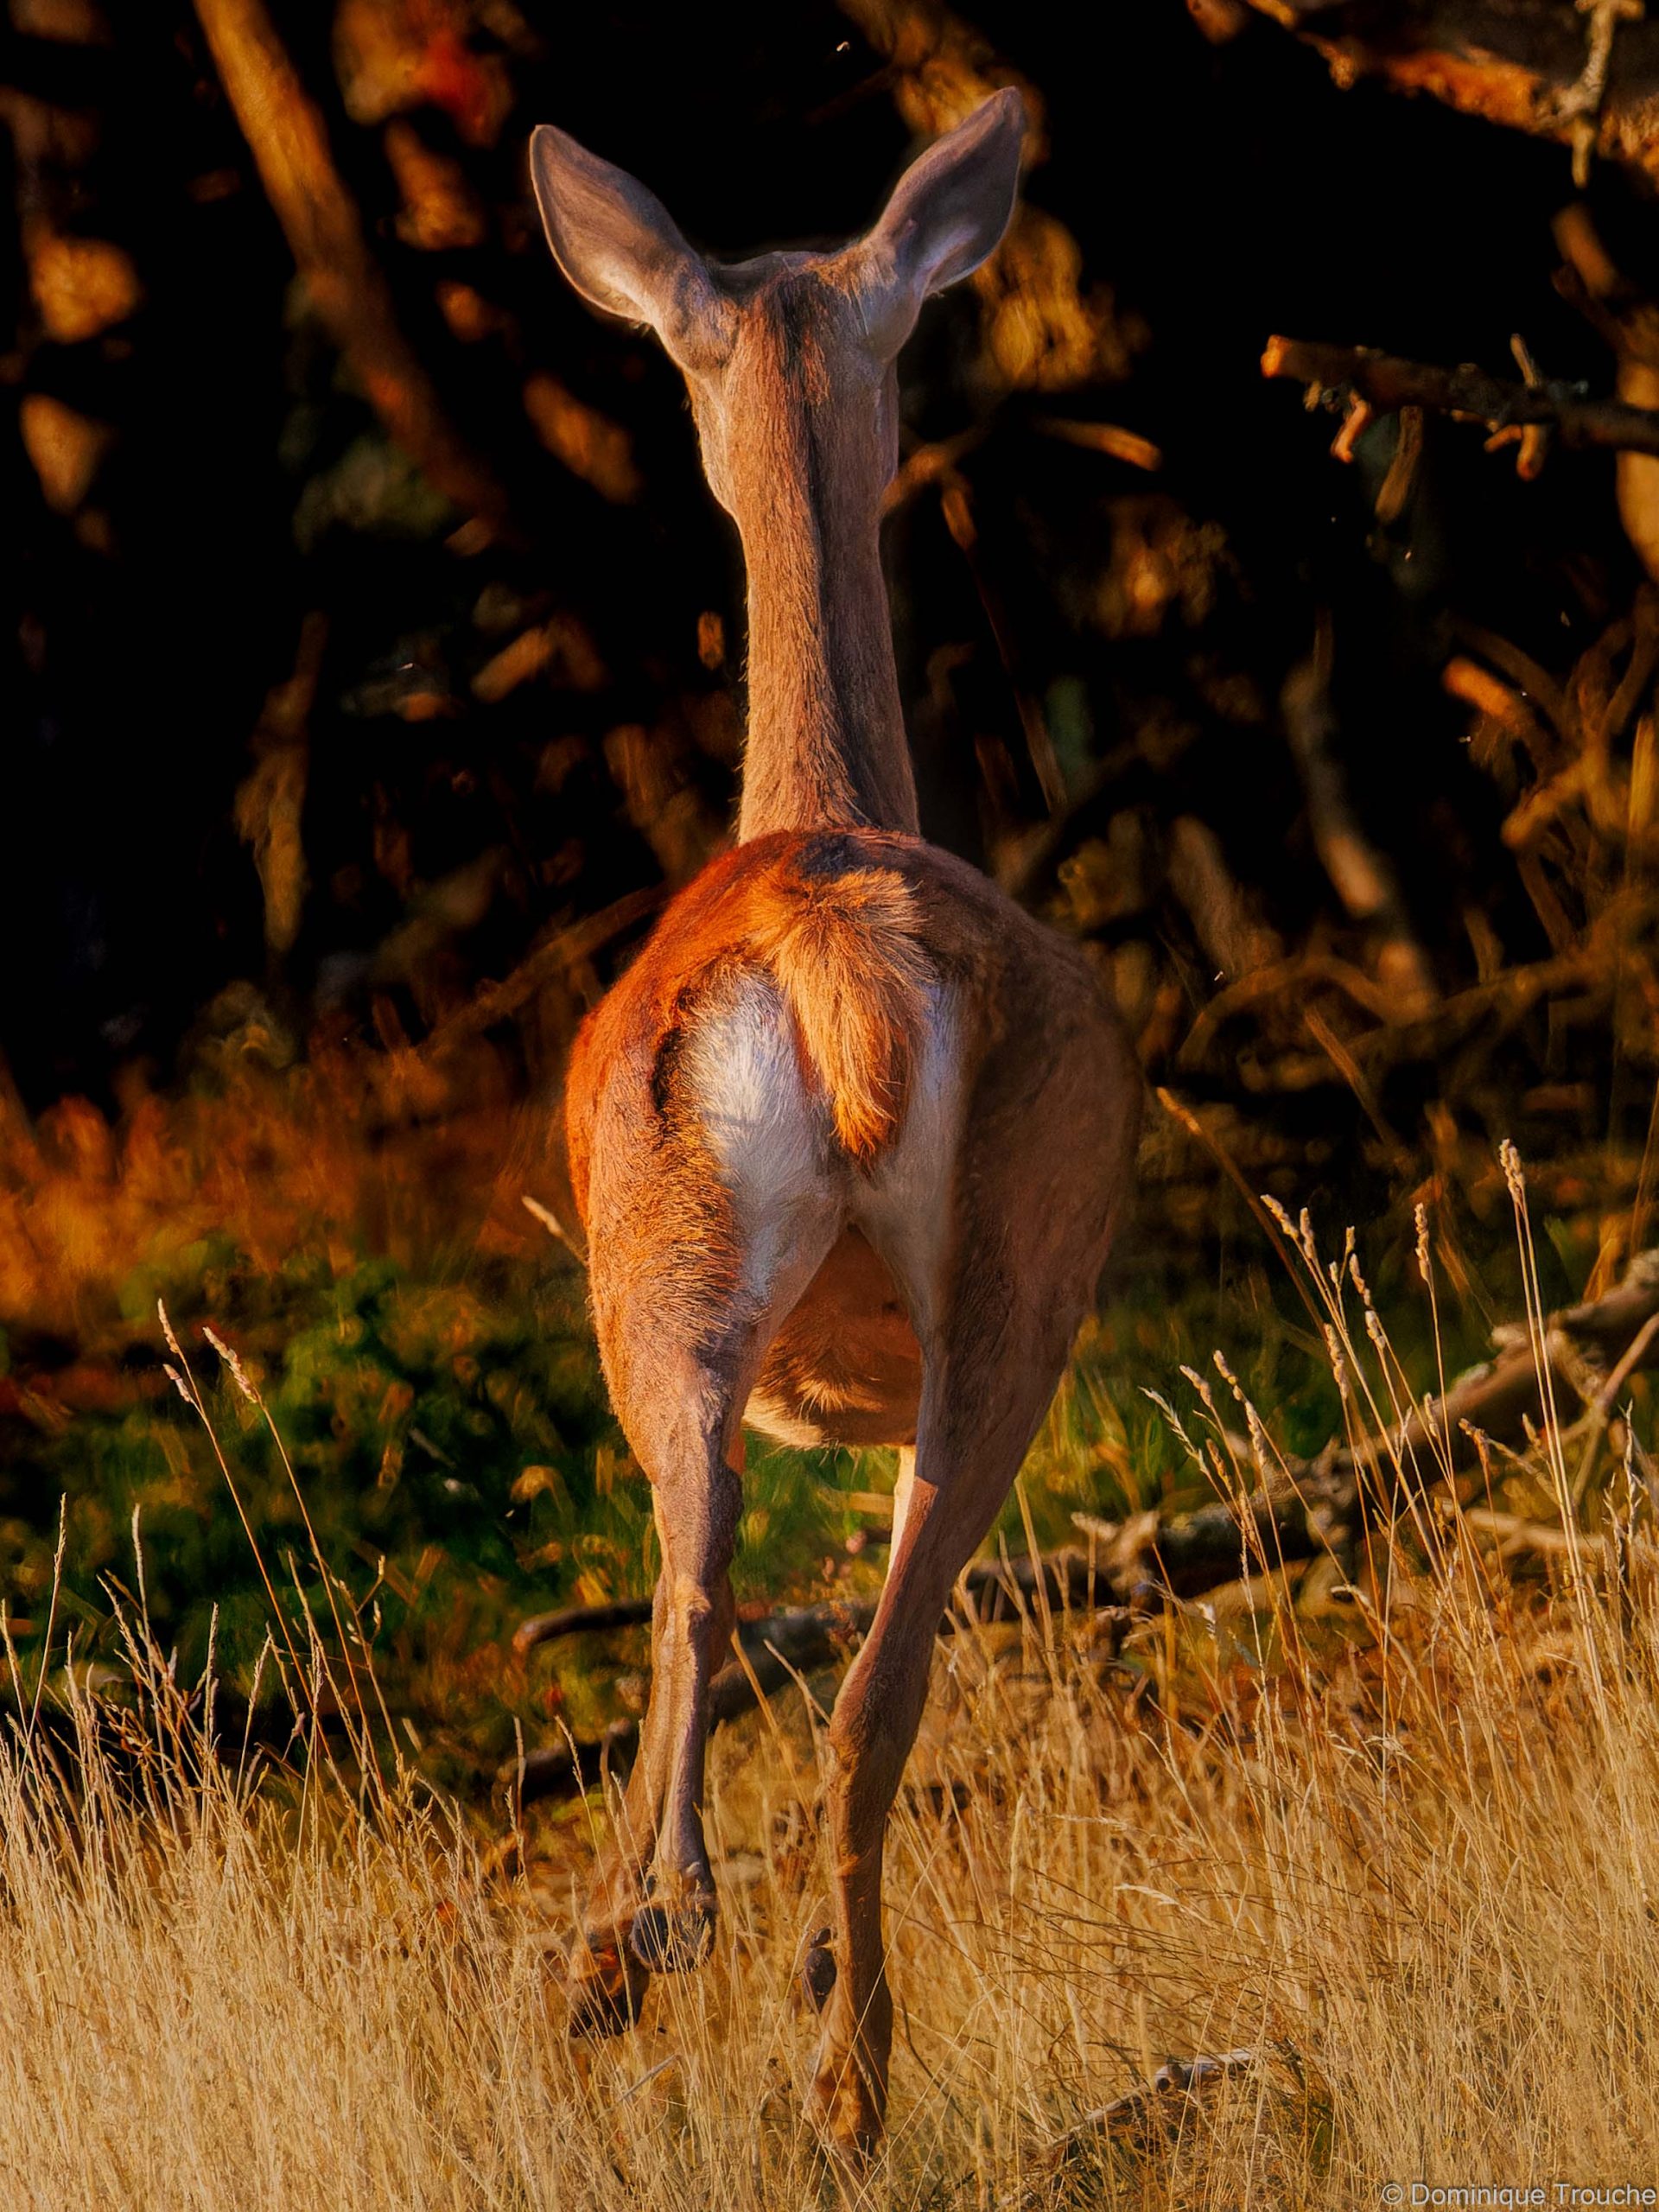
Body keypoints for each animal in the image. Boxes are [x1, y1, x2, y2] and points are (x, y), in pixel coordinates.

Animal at [528, 89, 1140, 2160]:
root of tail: (833, 940)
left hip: (673, 1278)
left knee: (699, 1588)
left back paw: (641, 1954)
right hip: (1016, 1287)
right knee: (880, 1669)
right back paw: (825, 2047)